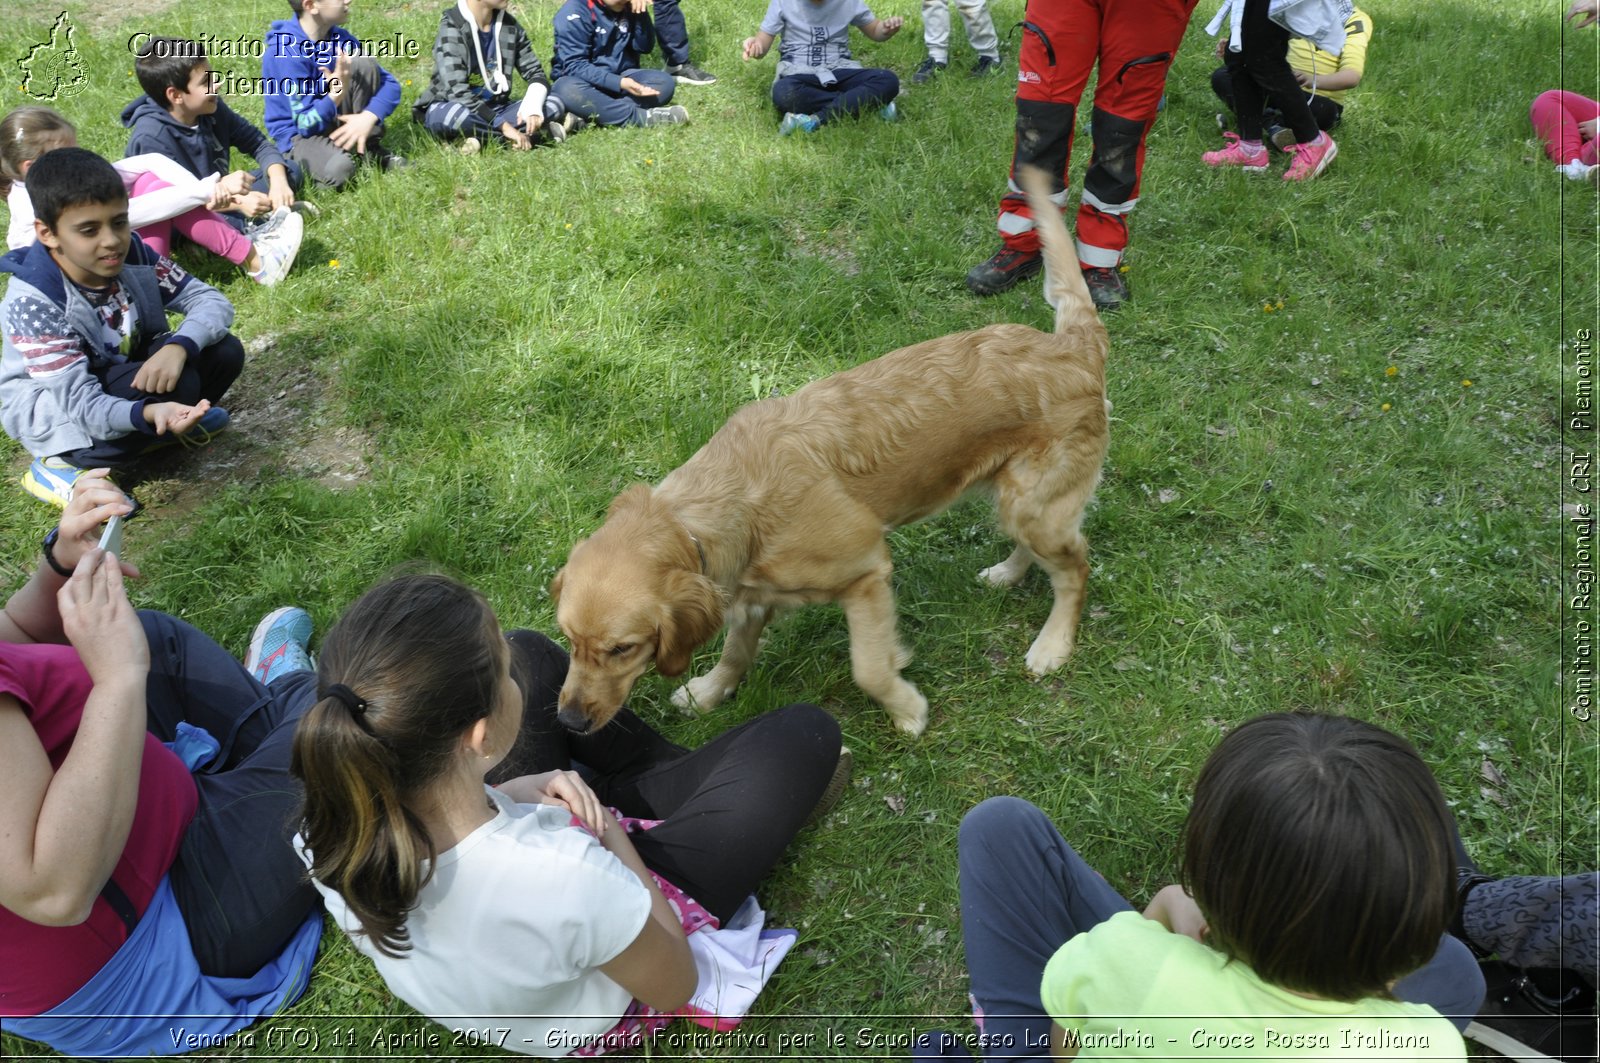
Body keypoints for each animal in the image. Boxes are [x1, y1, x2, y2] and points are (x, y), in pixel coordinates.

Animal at [550, 168, 1100, 739]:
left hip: (1037, 507)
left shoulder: (867, 572)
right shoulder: (750, 598)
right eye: (569, 640)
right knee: (1037, 551)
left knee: (1076, 569)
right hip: (1020, 502)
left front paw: (907, 710)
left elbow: (870, 668)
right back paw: (1007, 575)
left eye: (622, 648)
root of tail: (1073, 345)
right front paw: (709, 692)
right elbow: (735, 652)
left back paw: (1053, 645)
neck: (721, 506)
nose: (568, 720)